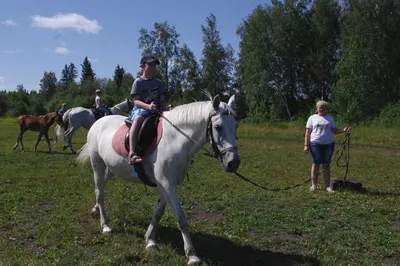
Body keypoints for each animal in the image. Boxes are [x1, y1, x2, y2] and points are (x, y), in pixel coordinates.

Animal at [77, 94, 241, 264]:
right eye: (218, 127)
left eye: (236, 126)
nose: (233, 163)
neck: (175, 140)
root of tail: (98, 121)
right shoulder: (167, 183)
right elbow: (181, 218)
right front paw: (192, 255)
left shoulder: (166, 184)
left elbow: (158, 213)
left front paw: (150, 240)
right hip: (98, 165)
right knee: (100, 193)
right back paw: (105, 226)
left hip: (112, 168)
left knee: (100, 187)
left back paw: (95, 210)